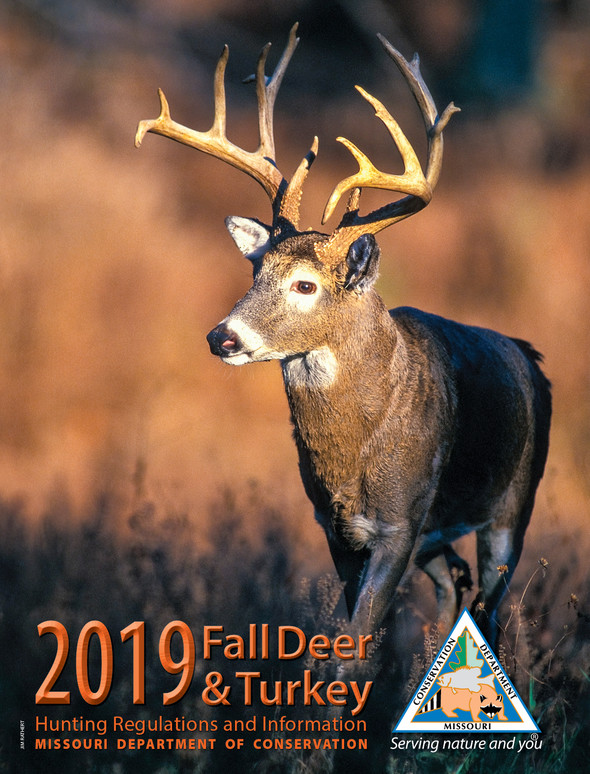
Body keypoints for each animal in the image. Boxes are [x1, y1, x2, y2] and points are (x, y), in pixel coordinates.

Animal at [135, 24, 551, 648]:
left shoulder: (399, 524)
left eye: (306, 285)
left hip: (512, 504)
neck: (353, 454)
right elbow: (346, 637)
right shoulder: (336, 530)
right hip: (437, 540)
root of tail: (529, 356)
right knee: (455, 584)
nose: (221, 338)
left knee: (490, 605)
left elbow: (354, 643)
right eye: (256, 272)